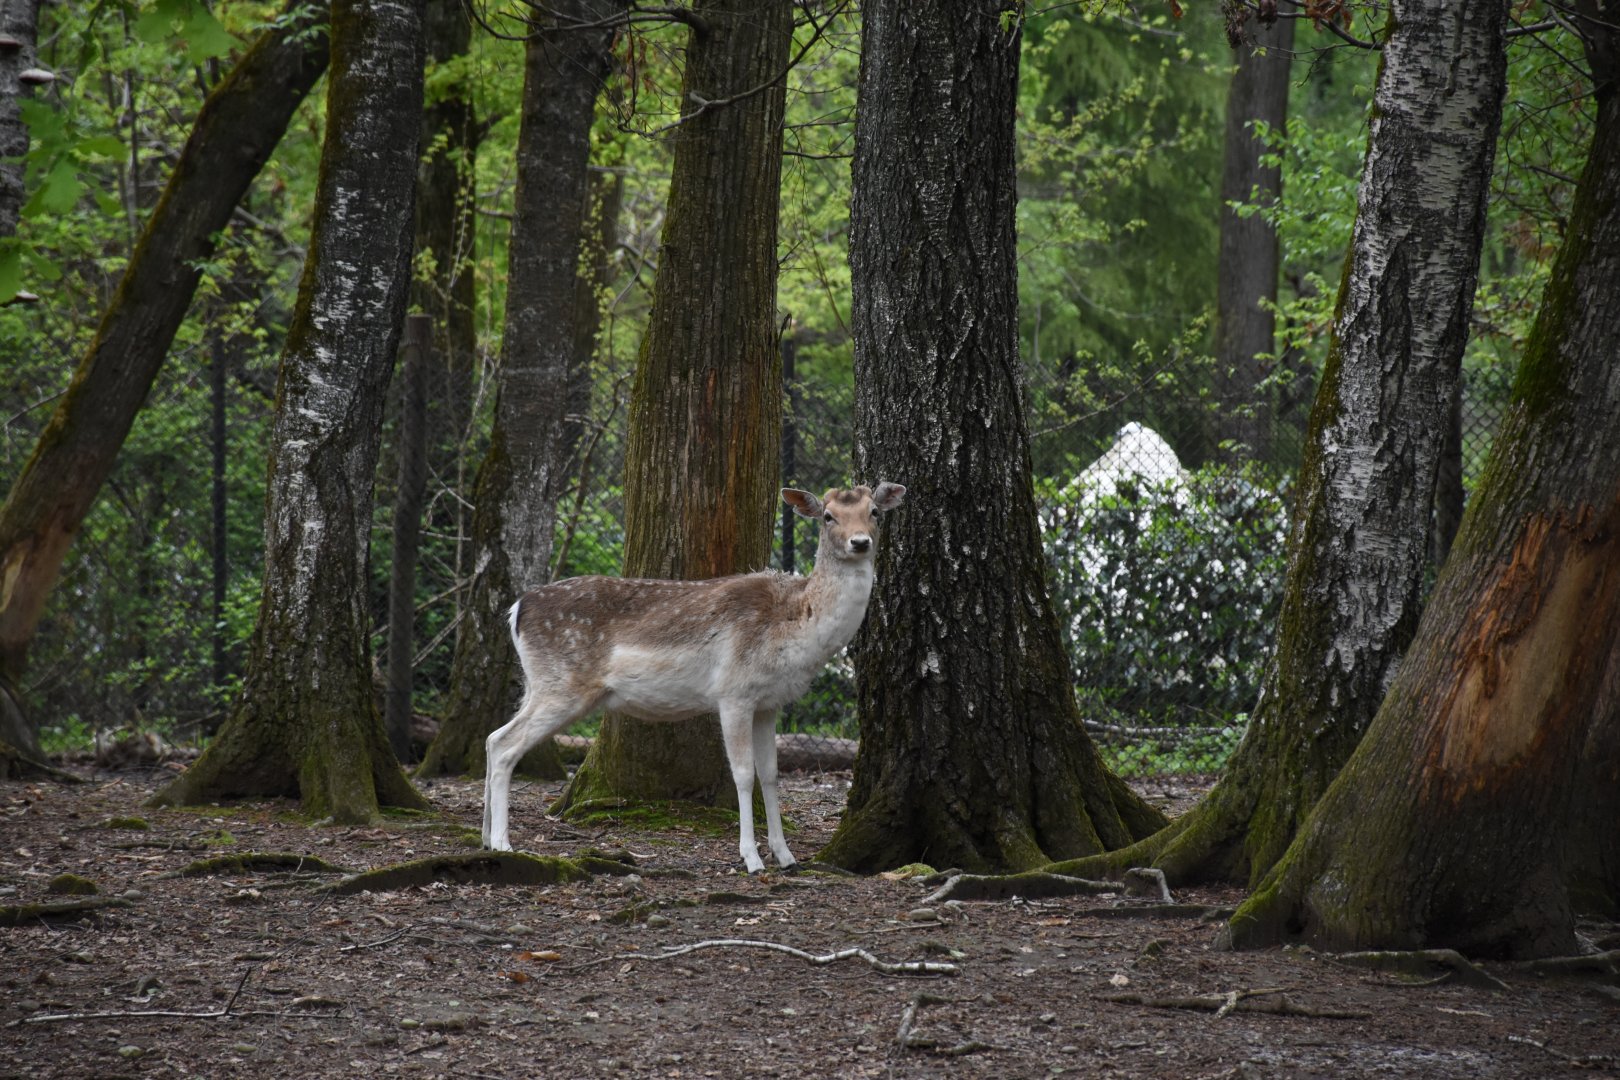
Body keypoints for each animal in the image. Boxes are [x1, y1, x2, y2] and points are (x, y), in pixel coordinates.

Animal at [483, 482, 907, 873]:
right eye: (828, 516)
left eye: (874, 512)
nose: (860, 542)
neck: (795, 630)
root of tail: (516, 609)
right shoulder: (733, 691)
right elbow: (743, 775)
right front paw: (752, 859)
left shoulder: (768, 703)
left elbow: (771, 775)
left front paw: (787, 857)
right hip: (561, 684)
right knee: (505, 745)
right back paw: (504, 843)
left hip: (539, 684)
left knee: (492, 738)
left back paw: (486, 838)